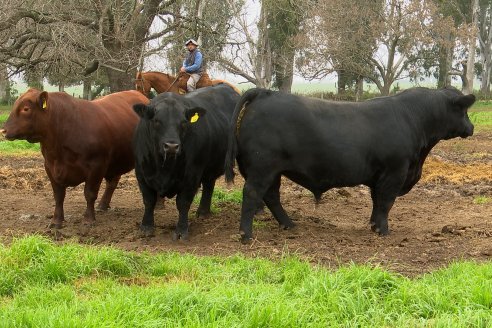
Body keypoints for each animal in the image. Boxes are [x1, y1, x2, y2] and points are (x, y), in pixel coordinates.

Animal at [0, 88, 149, 229]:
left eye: (26, 109)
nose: (4, 130)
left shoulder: (97, 166)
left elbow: (89, 194)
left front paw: (88, 220)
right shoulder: (50, 167)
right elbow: (58, 196)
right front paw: (56, 221)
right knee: (112, 182)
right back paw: (103, 205)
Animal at [131, 83, 238, 240]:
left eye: (183, 122)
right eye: (157, 121)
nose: (171, 146)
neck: (164, 167)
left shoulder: (192, 175)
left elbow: (183, 203)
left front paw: (181, 230)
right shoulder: (141, 174)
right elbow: (149, 200)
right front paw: (146, 227)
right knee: (209, 184)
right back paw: (203, 212)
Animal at [225, 86, 474, 242]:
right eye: (464, 110)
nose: (471, 127)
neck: (412, 117)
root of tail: (265, 92)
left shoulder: (380, 176)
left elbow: (377, 201)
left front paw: (373, 225)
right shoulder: (395, 171)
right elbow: (386, 202)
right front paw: (383, 231)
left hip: (272, 171)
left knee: (272, 196)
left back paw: (289, 225)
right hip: (262, 168)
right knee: (252, 194)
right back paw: (246, 235)